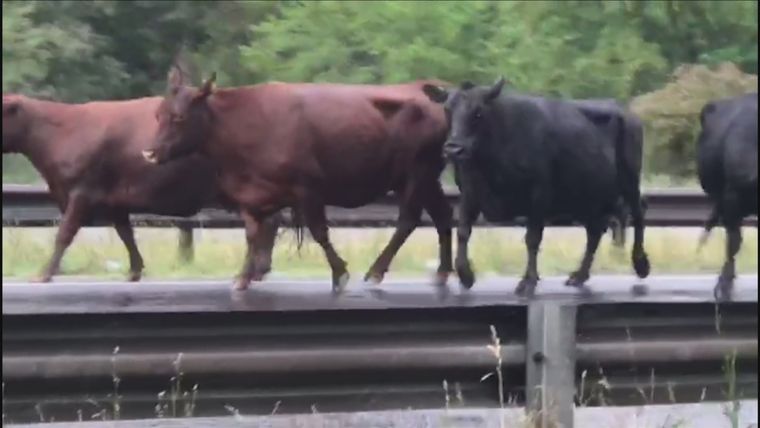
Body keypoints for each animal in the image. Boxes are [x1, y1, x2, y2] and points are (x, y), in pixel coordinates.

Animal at [2, 93, 280, 283]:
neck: (61, 132)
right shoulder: (113, 201)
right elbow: (126, 234)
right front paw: (135, 270)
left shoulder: (82, 192)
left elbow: (64, 233)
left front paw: (44, 273)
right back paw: (259, 269)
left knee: (267, 223)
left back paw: (256, 270)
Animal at [141, 66, 453, 292]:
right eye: (157, 114)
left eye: (179, 117)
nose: (149, 152)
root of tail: (426, 89)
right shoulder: (252, 196)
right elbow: (252, 236)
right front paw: (242, 277)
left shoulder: (308, 189)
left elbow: (319, 232)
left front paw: (339, 274)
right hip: (425, 178)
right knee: (442, 215)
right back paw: (443, 273)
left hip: (416, 174)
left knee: (409, 220)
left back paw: (377, 271)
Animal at [422, 78, 650, 296]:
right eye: (447, 109)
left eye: (478, 112)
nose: (453, 149)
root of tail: (625, 111)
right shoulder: (470, 193)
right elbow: (463, 231)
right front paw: (465, 274)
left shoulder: (539, 195)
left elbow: (532, 239)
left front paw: (528, 281)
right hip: (589, 197)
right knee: (594, 232)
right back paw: (579, 275)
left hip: (629, 180)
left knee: (638, 214)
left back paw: (640, 264)